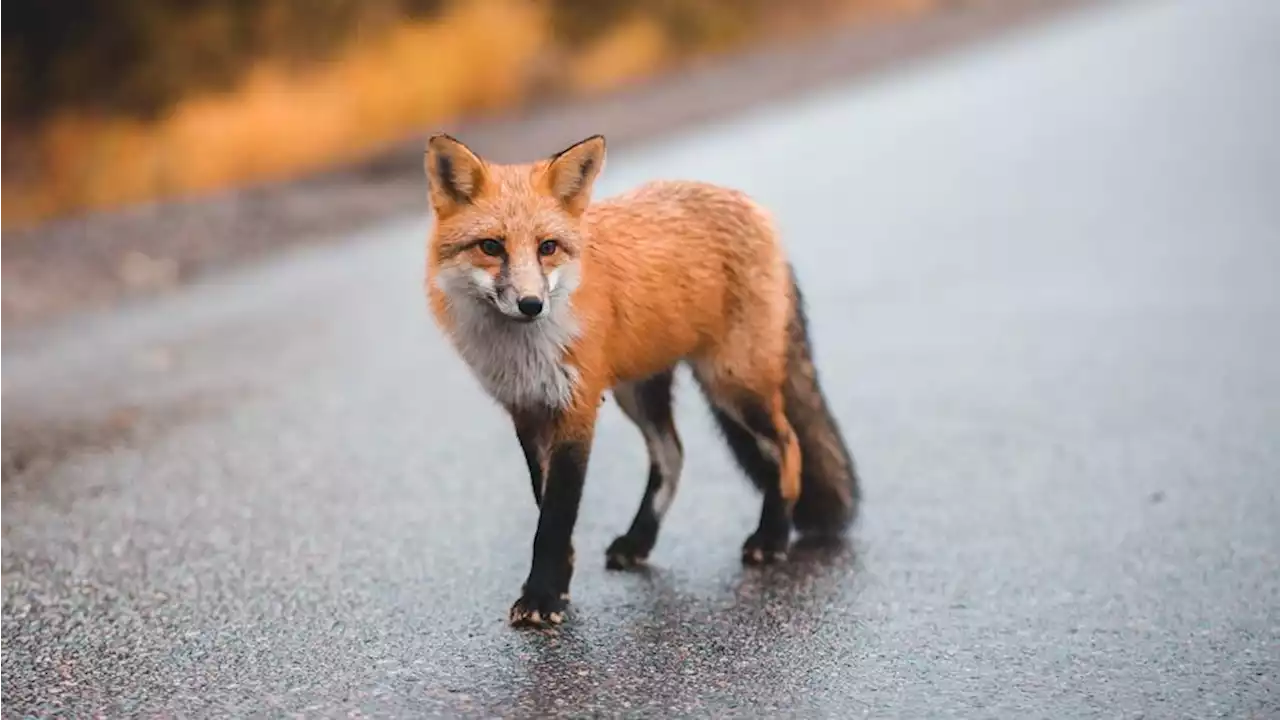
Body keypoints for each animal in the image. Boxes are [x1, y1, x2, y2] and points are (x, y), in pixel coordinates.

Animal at [422, 131, 860, 625]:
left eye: (547, 247)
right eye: (491, 247)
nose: (532, 305)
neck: (523, 350)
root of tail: (753, 207)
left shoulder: (577, 407)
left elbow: (555, 516)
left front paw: (542, 596)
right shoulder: (527, 409)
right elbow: (545, 505)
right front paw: (560, 582)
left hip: (733, 383)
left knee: (788, 446)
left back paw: (772, 537)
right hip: (640, 391)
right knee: (673, 455)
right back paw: (639, 541)